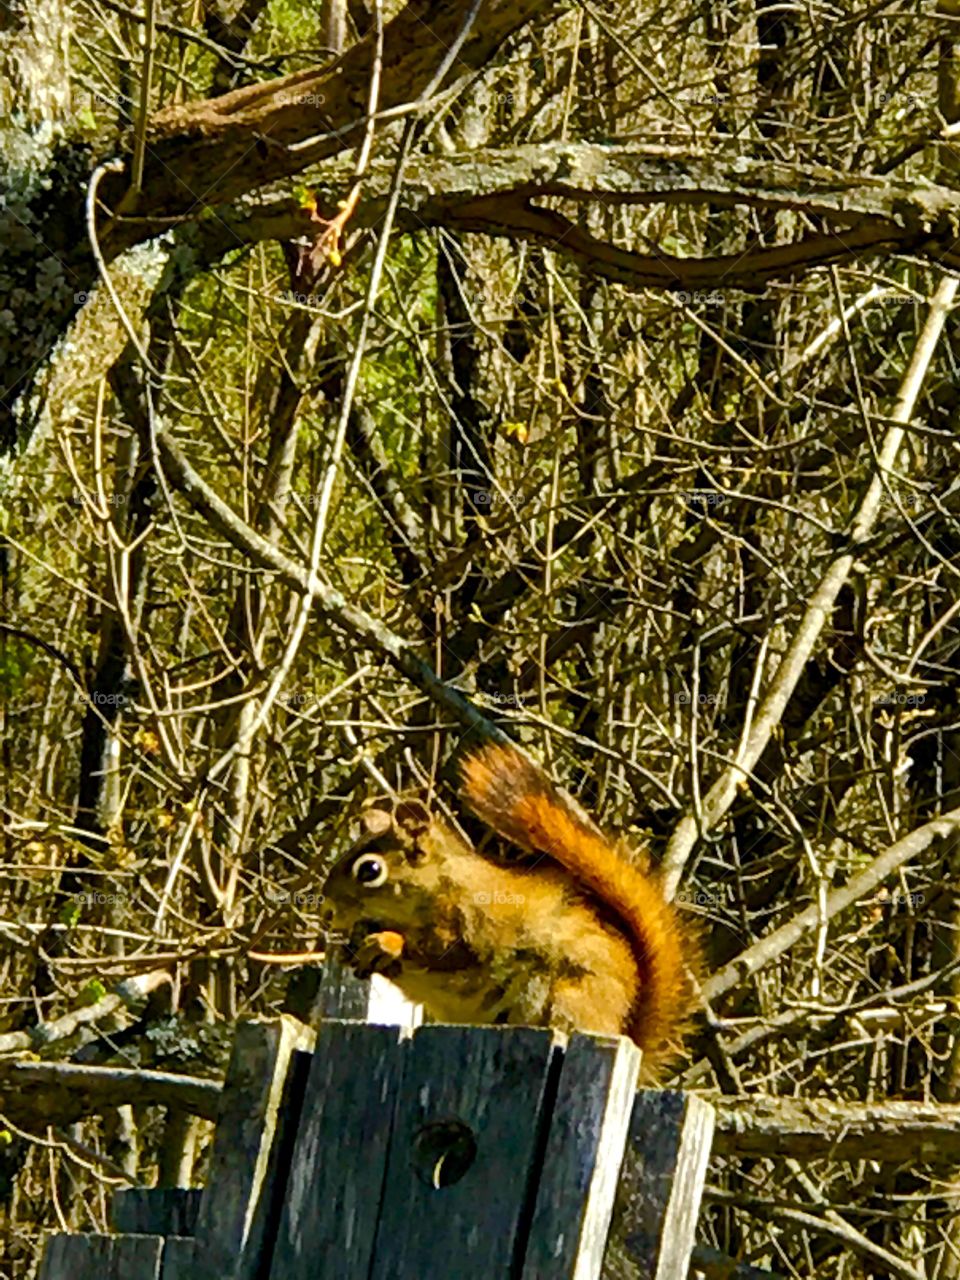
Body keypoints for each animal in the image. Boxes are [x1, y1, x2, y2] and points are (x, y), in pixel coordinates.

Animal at [320, 743, 696, 1077]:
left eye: (370, 870)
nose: (327, 908)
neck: (440, 886)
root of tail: (622, 1030)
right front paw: (350, 947)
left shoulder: (470, 925)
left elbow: (442, 953)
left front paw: (387, 943)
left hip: (566, 999)